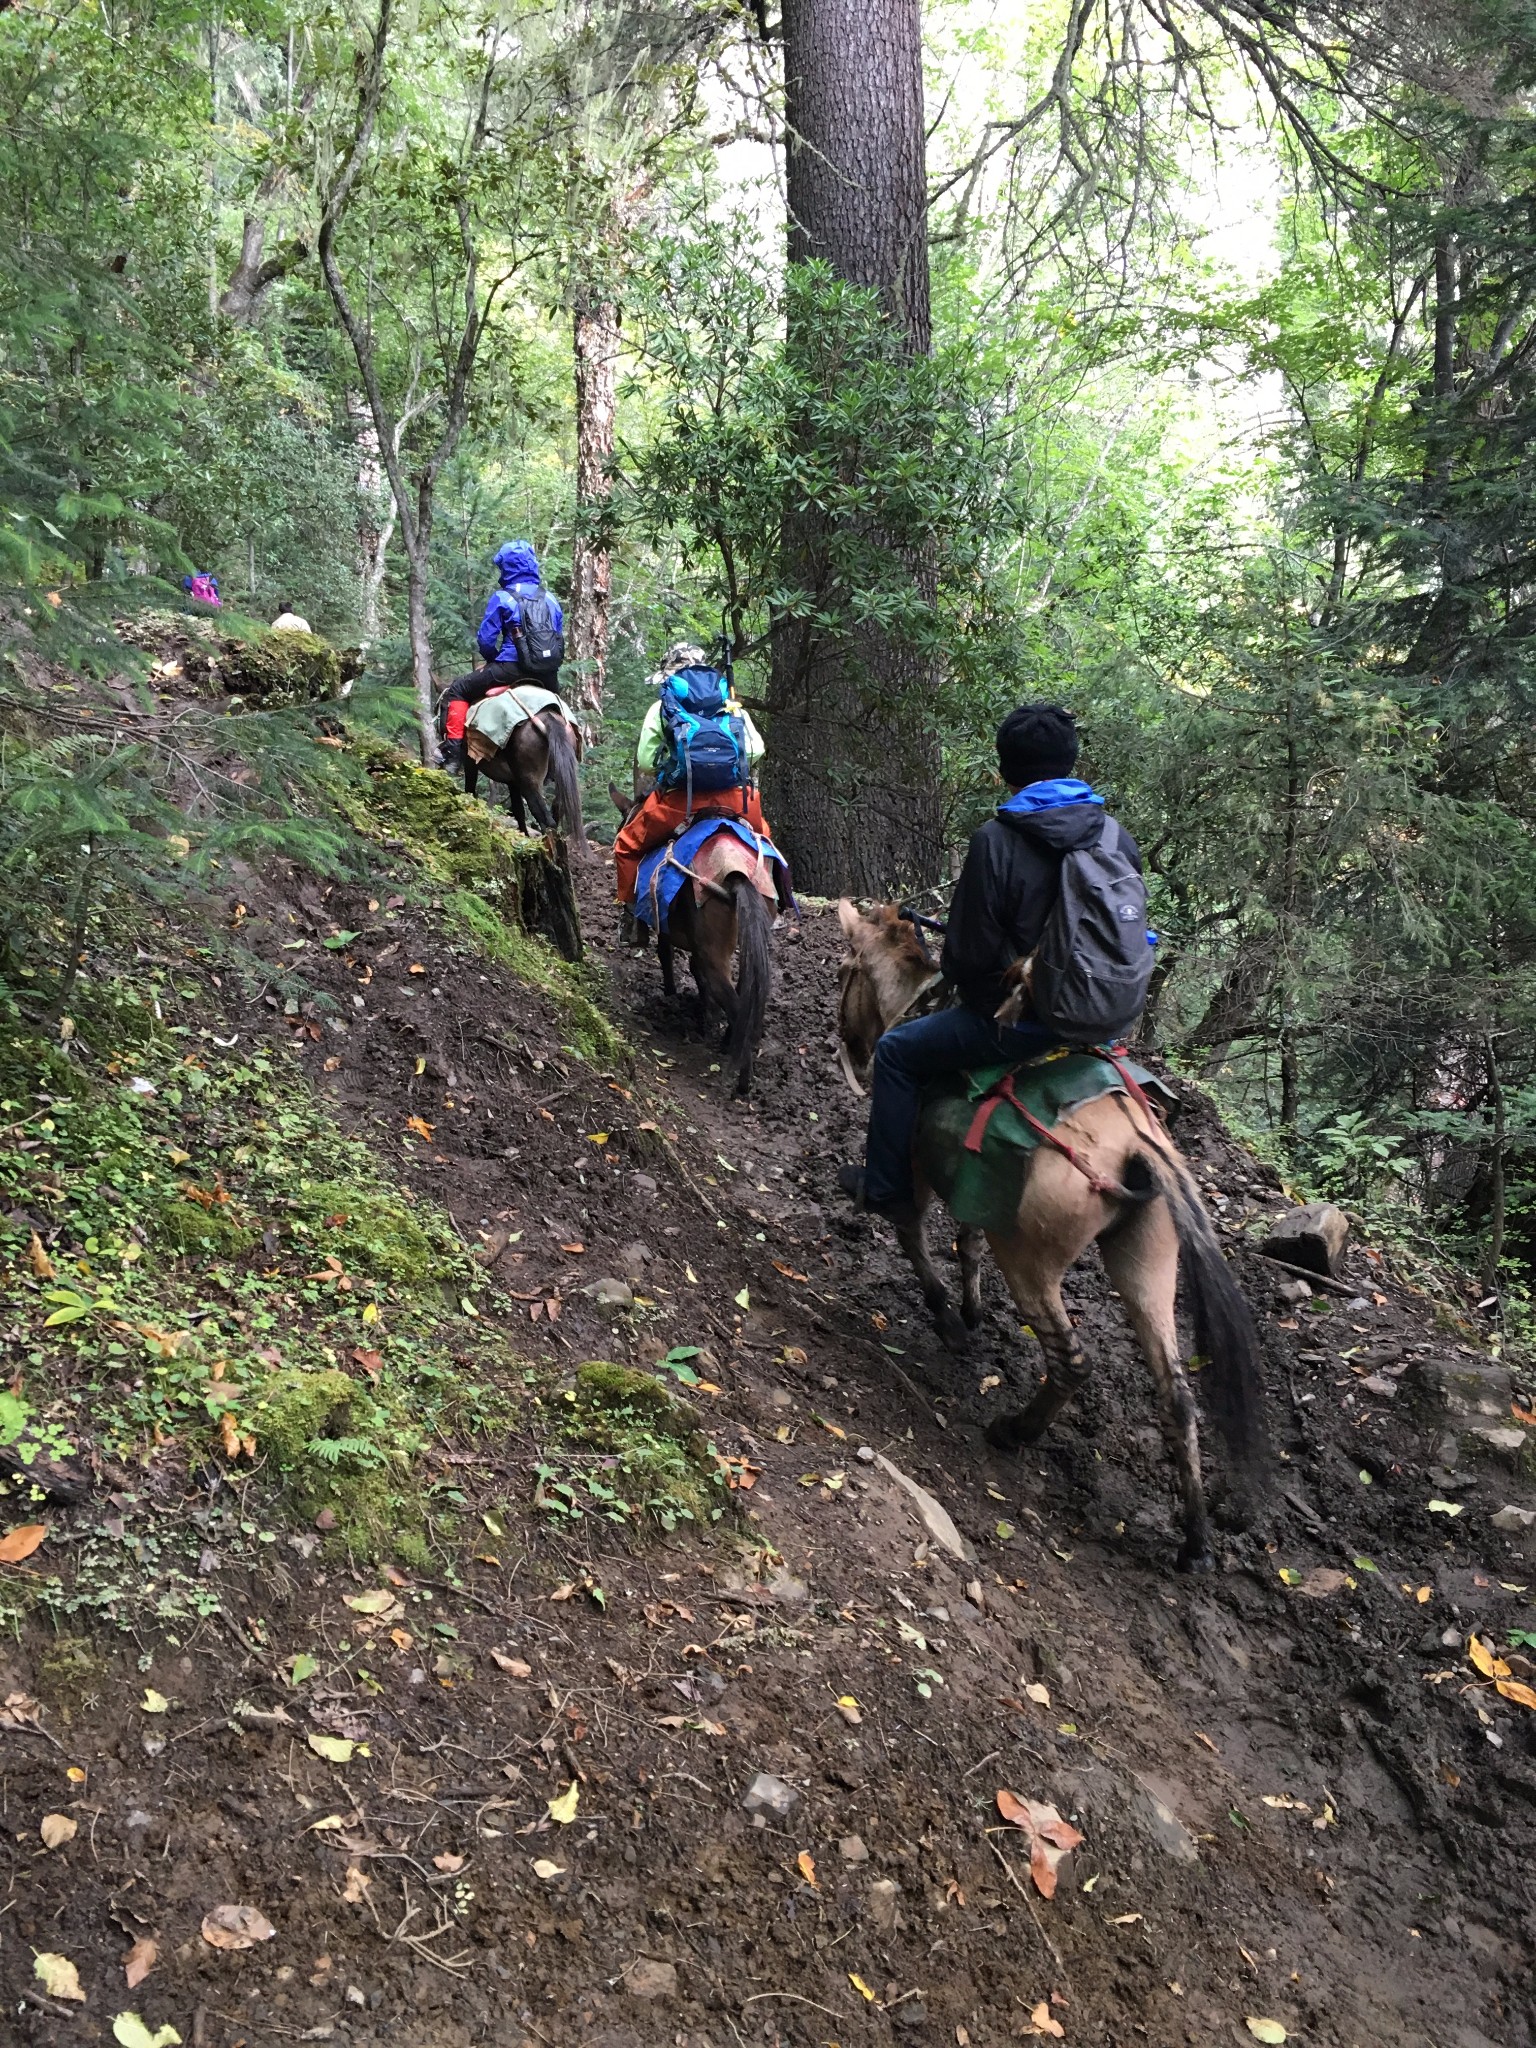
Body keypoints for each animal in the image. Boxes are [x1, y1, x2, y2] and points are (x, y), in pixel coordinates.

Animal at [610, 786, 774, 1097]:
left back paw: (742, 1080)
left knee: (737, 1007)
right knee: (744, 993)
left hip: (714, 953)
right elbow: (699, 978)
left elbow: (666, 954)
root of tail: (735, 874)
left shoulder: (670, 931)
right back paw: (728, 1044)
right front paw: (705, 1019)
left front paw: (673, 993)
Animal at [835, 897, 1269, 1564]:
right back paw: (1195, 1541)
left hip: (1033, 1261)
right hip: (1148, 1262)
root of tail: (1137, 1146)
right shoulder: (977, 1187)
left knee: (1072, 1363)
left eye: (846, 972)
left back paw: (1014, 1431)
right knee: (1177, 1393)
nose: (848, 1041)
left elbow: (910, 1231)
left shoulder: (914, 1167)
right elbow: (968, 1240)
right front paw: (971, 1312)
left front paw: (948, 1318)